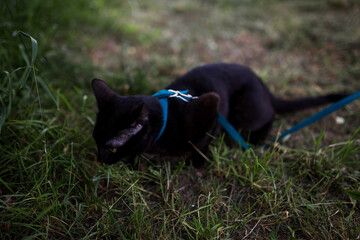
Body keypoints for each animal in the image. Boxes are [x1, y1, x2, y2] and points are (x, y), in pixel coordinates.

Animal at [91, 62, 348, 166]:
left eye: (111, 148)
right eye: (95, 141)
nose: (99, 160)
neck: (166, 119)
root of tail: (265, 87)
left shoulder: (212, 106)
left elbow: (202, 144)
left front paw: (195, 165)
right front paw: (134, 163)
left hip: (246, 111)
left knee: (269, 118)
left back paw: (253, 141)